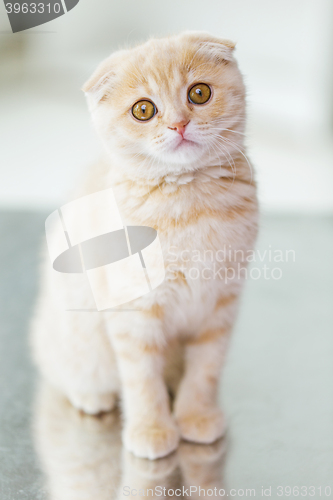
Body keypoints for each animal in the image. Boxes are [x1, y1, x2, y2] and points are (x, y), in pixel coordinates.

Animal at [30, 31, 256, 460]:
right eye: (143, 110)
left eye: (199, 93)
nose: (179, 124)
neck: (188, 204)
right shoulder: (134, 310)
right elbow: (141, 377)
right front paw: (151, 429)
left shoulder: (221, 304)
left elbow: (206, 367)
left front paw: (197, 415)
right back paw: (91, 396)